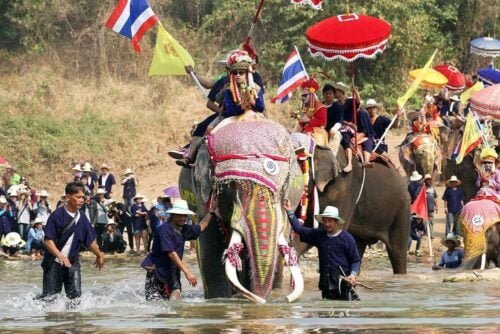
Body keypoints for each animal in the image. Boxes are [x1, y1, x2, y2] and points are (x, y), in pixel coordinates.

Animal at [180, 118, 304, 304]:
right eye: (231, 186)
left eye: (283, 186)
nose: (263, 302)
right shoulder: (202, 197)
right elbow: (210, 250)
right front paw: (220, 300)